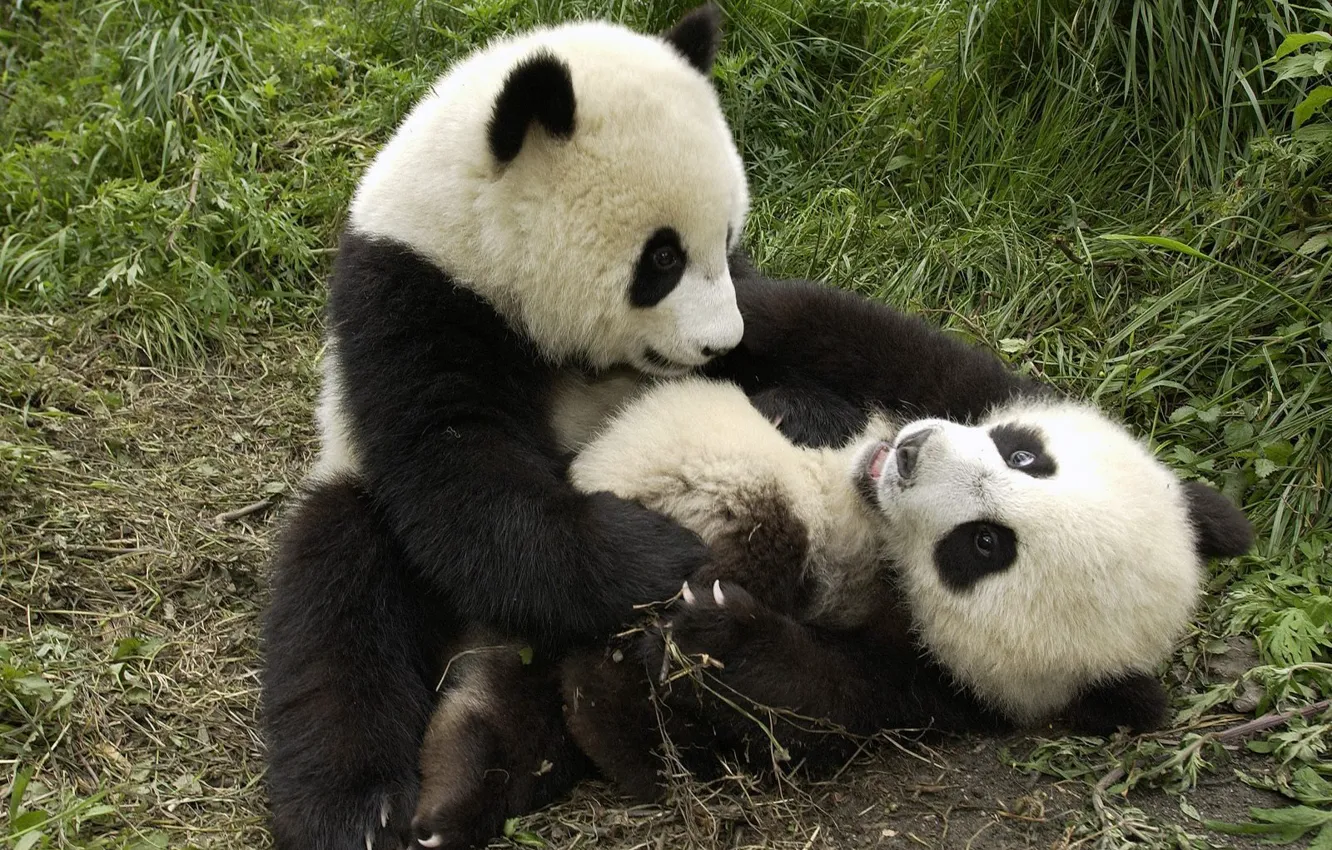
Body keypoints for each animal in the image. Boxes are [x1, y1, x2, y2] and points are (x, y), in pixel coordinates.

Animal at [260, 8, 757, 849]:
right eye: (660, 258)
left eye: (725, 240)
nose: (721, 344)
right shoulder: (412, 300)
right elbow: (457, 472)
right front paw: (658, 553)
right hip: (352, 503)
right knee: (337, 606)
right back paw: (360, 808)